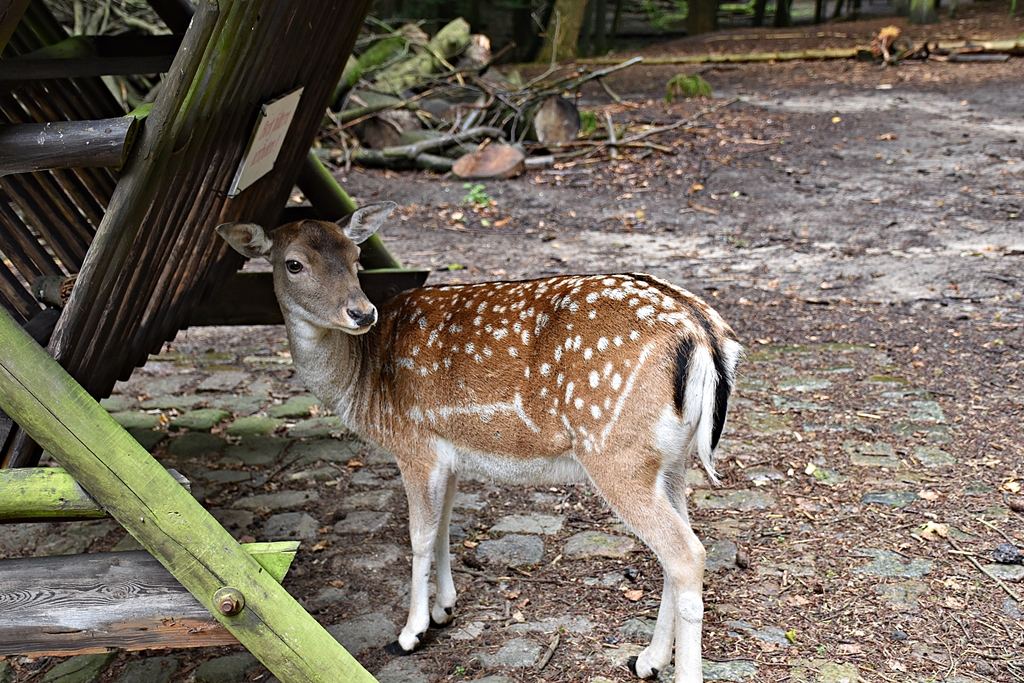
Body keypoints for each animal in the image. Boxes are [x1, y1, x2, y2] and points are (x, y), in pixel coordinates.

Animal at [217, 202, 742, 683]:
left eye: (356, 255)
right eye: (294, 263)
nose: (361, 311)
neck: (363, 383)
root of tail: (705, 336)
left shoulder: (415, 444)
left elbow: (419, 536)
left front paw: (411, 631)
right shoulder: (447, 453)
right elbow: (445, 525)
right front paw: (444, 609)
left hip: (615, 450)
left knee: (686, 554)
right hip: (670, 460)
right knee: (679, 547)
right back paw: (648, 660)